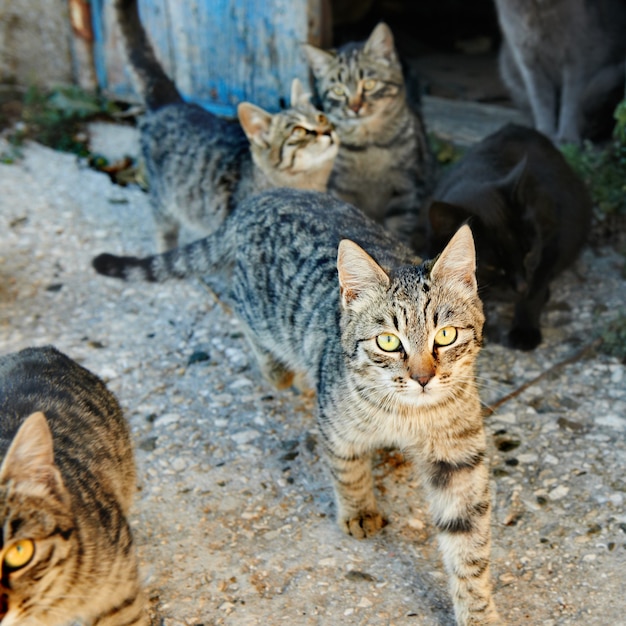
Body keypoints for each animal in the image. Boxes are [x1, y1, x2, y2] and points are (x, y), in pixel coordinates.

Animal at [92, 188, 500, 620]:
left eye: (446, 335)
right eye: (388, 341)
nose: (423, 378)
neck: (408, 415)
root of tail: (262, 198)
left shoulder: (458, 458)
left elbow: (468, 541)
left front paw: (478, 610)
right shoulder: (336, 424)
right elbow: (348, 470)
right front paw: (358, 510)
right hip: (259, 311)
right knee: (241, 312)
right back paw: (279, 371)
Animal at [113, 0, 336, 250]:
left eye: (321, 118)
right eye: (298, 131)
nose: (327, 131)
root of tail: (172, 102)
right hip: (163, 201)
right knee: (165, 231)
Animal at [302, 22, 434, 239]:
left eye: (370, 85)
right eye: (338, 90)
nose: (355, 107)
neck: (369, 146)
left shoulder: (406, 188)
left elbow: (399, 228)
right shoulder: (340, 187)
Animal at [492, 0, 624, 143]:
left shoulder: (578, 60)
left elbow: (570, 102)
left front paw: (567, 138)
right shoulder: (529, 62)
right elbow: (541, 102)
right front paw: (544, 134)